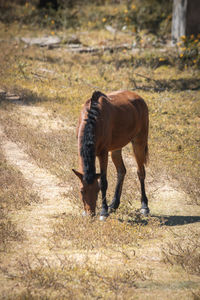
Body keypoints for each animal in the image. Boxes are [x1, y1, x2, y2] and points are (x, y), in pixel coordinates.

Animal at [72, 90, 149, 219]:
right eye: (82, 191)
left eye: (97, 190)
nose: (90, 213)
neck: (94, 118)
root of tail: (139, 98)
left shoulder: (103, 153)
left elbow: (104, 182)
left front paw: (103, 211)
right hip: (116, 149)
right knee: (121, 171)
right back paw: (114, 204)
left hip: (139, 142)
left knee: (141, 172)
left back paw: (144, 206)